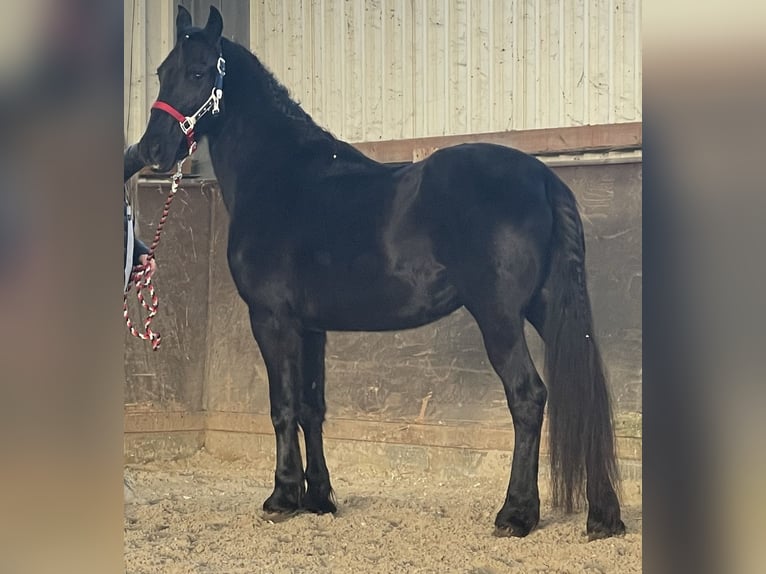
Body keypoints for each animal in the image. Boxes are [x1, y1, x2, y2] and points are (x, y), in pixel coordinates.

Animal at [134, 5, 625, 539]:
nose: (153, 151)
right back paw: (604, 515)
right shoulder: (311, 327)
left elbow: (282, 405)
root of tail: (544, 178)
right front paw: (319, 499)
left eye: (199, 72)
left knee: (527, 396)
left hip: (498, 316)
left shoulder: (271, 319)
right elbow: (311, 408)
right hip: (547, 307)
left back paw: (516, 514)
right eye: (161, 71)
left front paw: (282, 497)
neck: (280, 176)